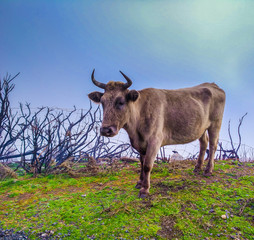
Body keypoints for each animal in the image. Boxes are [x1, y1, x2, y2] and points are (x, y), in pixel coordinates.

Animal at [88, 70, 225, 198]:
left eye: (121, 102)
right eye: (102, 102)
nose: (105, 130)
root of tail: (212, 85)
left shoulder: (155, 141)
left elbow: (147, 165)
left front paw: (145, 189)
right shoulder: (140, 143)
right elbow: (141, 163)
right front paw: (139, 183)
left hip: (215, 124)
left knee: (213, 145)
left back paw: (208, 170)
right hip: (201, 127)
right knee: (204, 143)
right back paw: (197, 168)